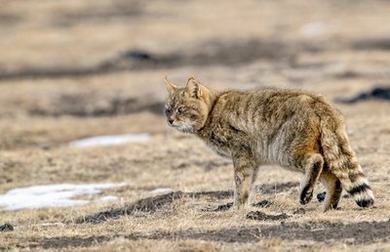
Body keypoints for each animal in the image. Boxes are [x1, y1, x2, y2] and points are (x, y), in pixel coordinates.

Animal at [162, 76, 374, 211]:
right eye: (167, 109)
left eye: (180, 109)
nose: (170, 120)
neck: (212, 110)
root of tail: (321, 104)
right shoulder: (252, 160)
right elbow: (247, 184)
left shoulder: (241, 153)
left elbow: (241, 183)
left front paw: (237, 208)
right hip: (325, 149)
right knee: (335, 180)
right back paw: (328, 207)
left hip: (286, 151)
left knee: (316, 160)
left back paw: (306, 194)